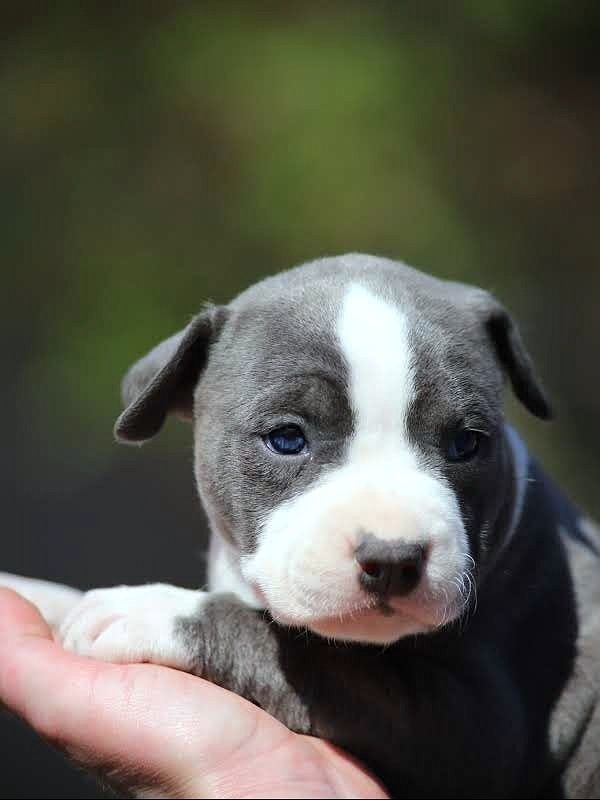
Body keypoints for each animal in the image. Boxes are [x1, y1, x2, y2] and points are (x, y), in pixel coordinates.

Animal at [2, 255, 596, 792]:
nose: (393, 559)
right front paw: (44, 596)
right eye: (287, 438)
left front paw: (151, 609)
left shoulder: (478, 731)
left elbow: (304, 651)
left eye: (466, 443)